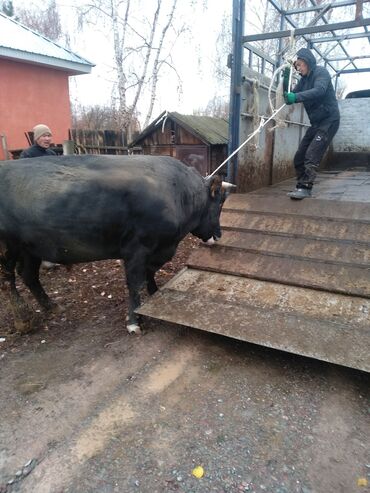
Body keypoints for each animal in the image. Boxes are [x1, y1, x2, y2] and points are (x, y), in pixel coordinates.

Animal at [0, 154, 230, 330]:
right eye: (219, 203)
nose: (219, 235)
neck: (178, 193)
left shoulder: (156, 250)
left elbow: (149, 275)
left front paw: (154, 294)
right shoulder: (137, 248)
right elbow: (135, 283)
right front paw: (134, 321)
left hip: (31, 248)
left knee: (28, 276)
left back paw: (51, 306)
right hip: (7, 249)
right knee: (7, 281)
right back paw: (22, 320)